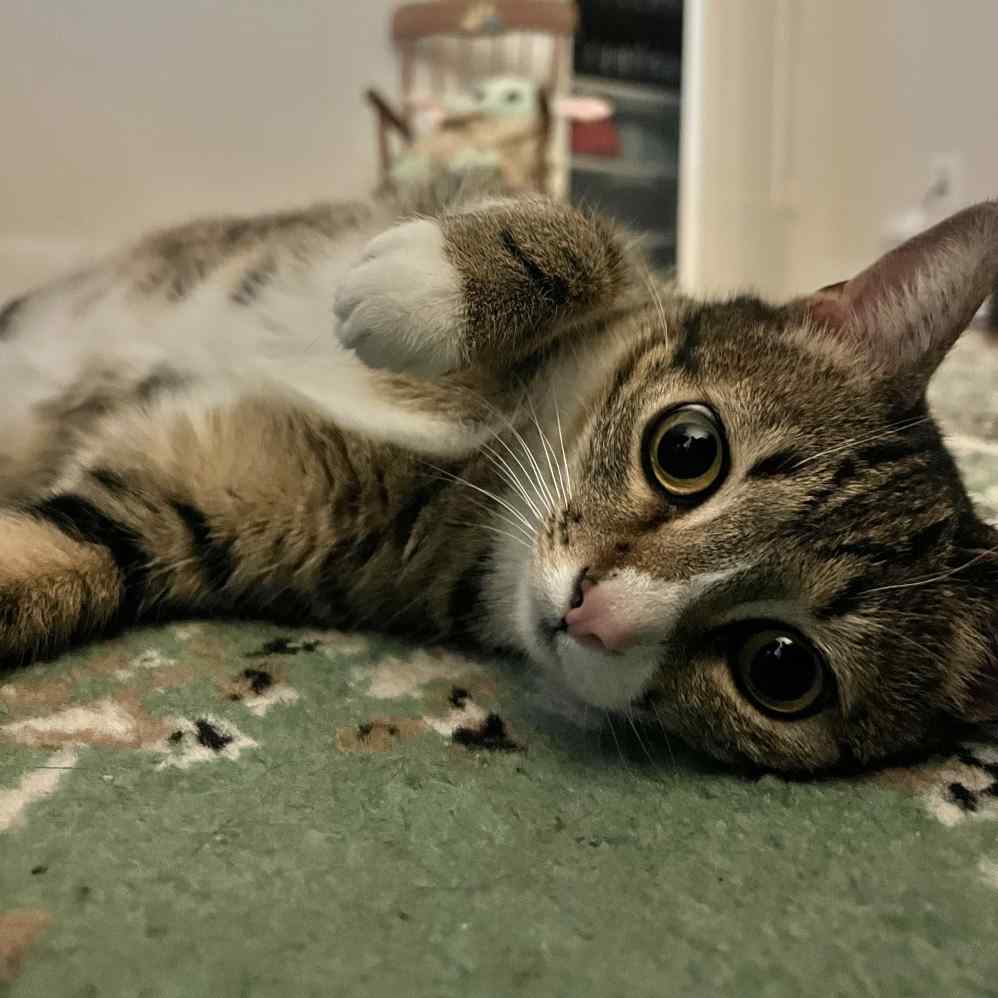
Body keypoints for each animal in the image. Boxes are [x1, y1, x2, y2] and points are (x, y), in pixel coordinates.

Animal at [1, 189, 998, 772]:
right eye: (687, 449)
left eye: (780, 669)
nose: (595, 611)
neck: (501, 466)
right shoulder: (624, 289)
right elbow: (592, 246)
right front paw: (423, 285)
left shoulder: (199, 509)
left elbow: (59, 557)